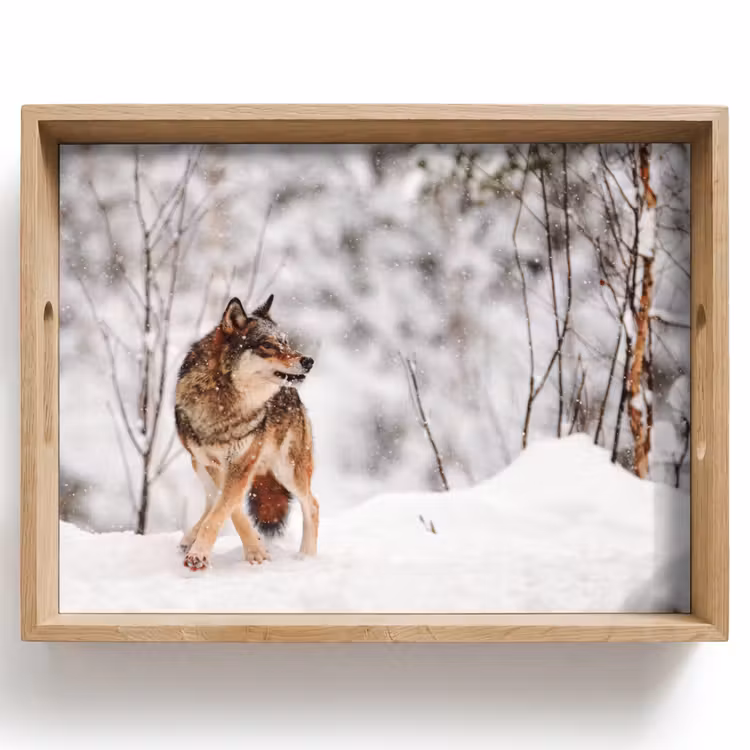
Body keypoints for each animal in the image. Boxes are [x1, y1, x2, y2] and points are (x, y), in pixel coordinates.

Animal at [174, 294, 318, 570]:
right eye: (268, 345)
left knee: (312, 505)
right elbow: (229, 509)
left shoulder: (241, 463)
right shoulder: (214, 464)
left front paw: (202, 554)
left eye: (286, 342)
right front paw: (255, 549)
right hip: (198, 464)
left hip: (287, 470)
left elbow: (223, 510)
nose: (308, 361)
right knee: (211, 499)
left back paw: (306, 557)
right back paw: (189, 537)